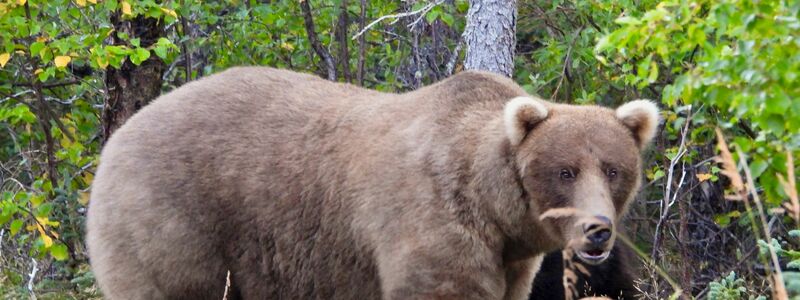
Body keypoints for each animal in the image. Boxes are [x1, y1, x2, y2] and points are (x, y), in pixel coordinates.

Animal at [86, 67, 656, 298]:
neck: (495, 210)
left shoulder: (512, 261)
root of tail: (117, 138)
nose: (598, 230)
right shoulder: (431, 217)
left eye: (613, 169)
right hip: (176, 223)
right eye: (564, 171)